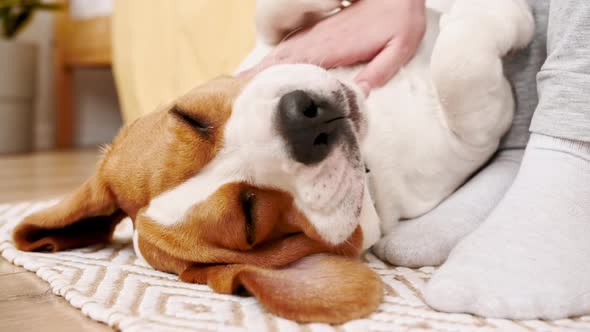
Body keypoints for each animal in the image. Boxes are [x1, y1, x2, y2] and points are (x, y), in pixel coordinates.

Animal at [11, 0, 536, 324]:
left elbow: (271, 14)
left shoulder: (270, 42)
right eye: (251, 216)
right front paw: (504, 17)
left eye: (190, 119)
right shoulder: (476, 133)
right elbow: (458, 69)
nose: (305, 121)